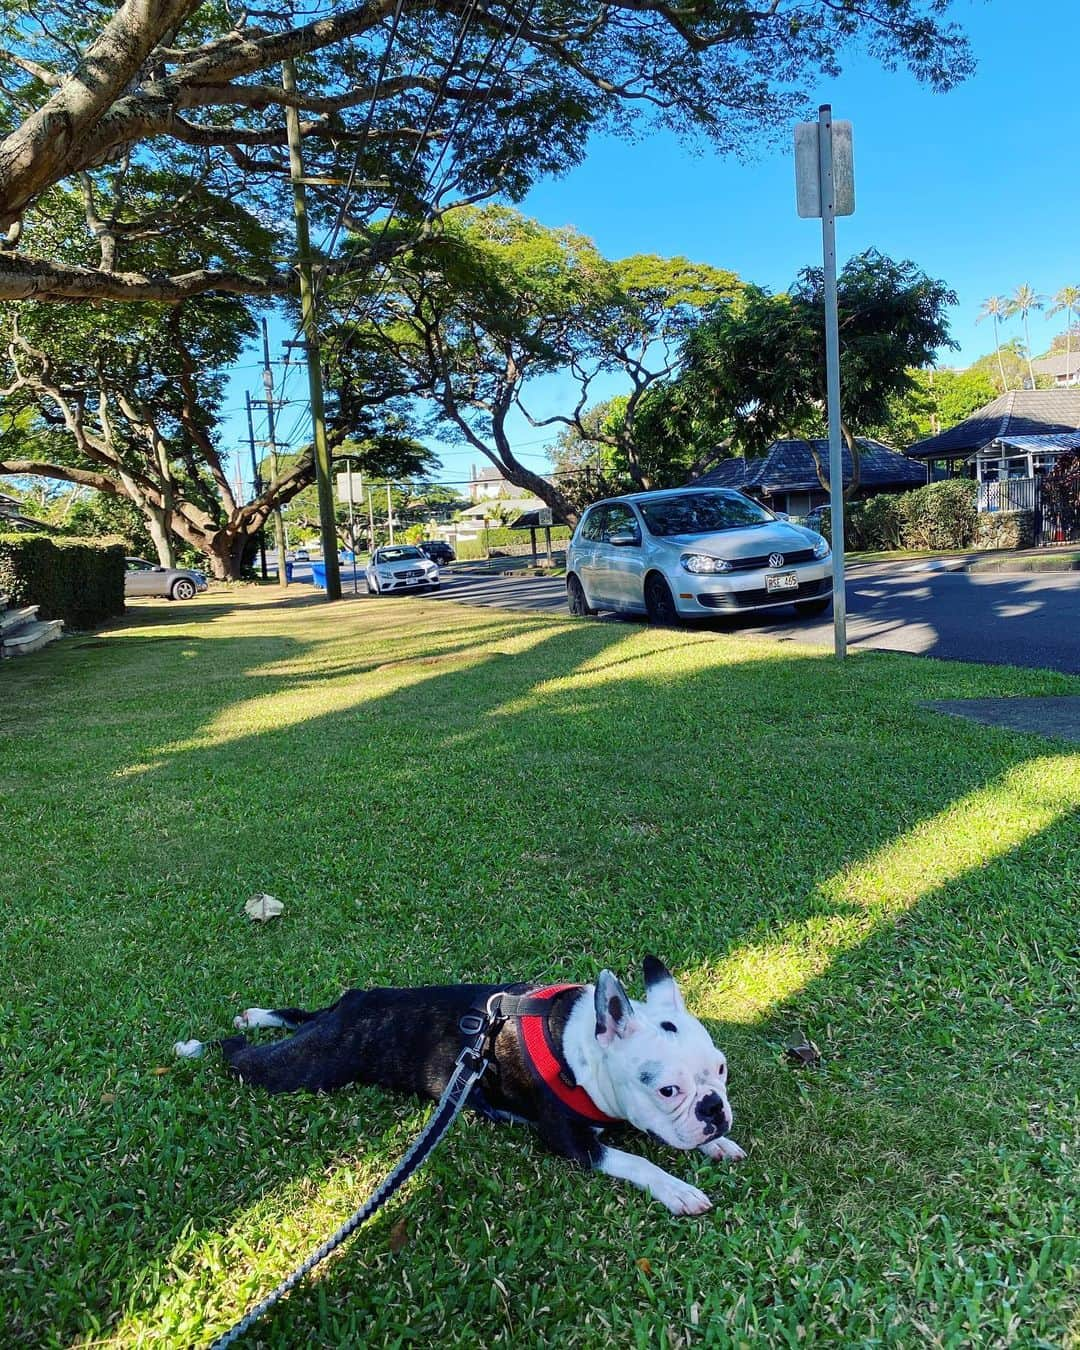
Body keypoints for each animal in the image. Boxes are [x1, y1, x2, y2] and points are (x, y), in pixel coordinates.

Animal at [176, 955, 745, 1220]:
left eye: (720, 1072)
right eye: (667, 1091)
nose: (715, 1109)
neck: (580, 1046)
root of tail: (355, 1002)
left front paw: (718, 1143)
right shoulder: (572, 1143)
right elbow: (636, 1160)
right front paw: (677, 1189)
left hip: (317, 1036)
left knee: (294, 1018)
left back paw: (256, 1014)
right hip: (299, 1069)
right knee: (239, 1054)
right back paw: (199, 1045)